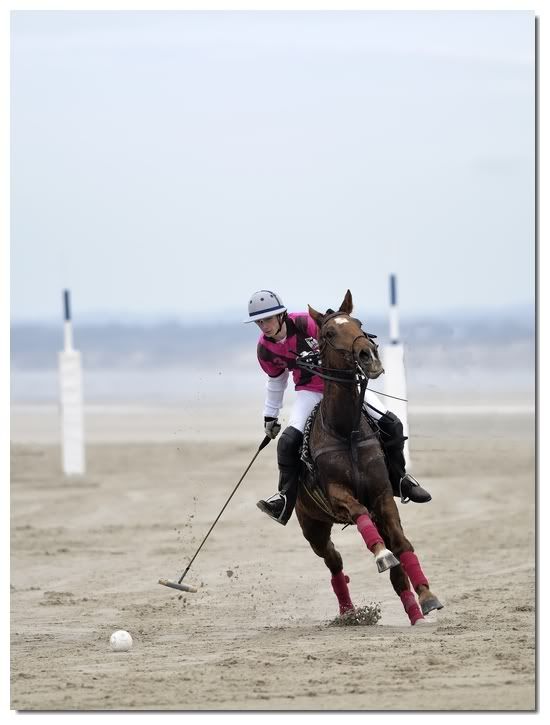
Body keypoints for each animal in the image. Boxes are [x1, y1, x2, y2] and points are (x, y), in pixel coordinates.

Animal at [296, 292, 442, 624]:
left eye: (358, 323)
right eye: (328, 333)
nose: (369, 355)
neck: (346, 430)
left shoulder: (382, 494)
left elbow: (402, 545)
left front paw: (427, 596)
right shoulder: (339, 495)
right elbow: (360, 513)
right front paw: (381, 554)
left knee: (393, 570)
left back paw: (412, 612)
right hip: (312, 526)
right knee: (333, 560)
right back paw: (348, 611)